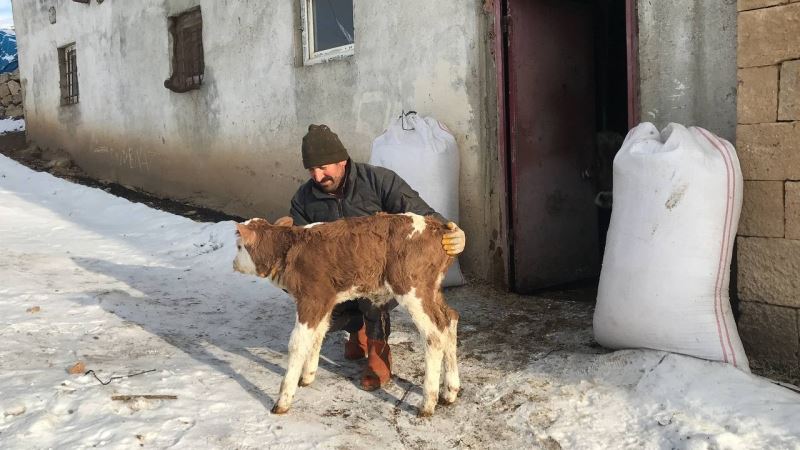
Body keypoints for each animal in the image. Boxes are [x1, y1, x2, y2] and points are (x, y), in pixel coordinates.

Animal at [231, 213, 460, 416]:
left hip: (411, 288)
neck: (288, 250)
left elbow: (297, 344)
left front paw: (282, 401)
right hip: (431, 290)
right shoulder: (325, 301)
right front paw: (307, 376)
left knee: (434, 336)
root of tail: (437, 226)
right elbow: (317, 335)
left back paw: (427, 403)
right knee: (450, 319)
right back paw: (450, 392)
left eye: (239, 246)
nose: (233, 263)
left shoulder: (311, 299)